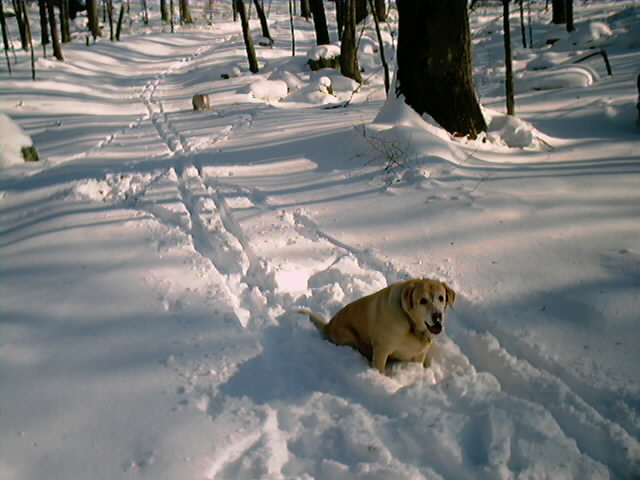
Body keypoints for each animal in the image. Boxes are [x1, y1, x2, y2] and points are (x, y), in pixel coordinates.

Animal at [300, 278, 456, 376]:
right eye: (423, 301)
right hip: (348, 336)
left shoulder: (419, 354)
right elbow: (380, 367)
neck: (411, 324)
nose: (437, 316)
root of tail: (328, 325)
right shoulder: (382, 349)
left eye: (441, 298)